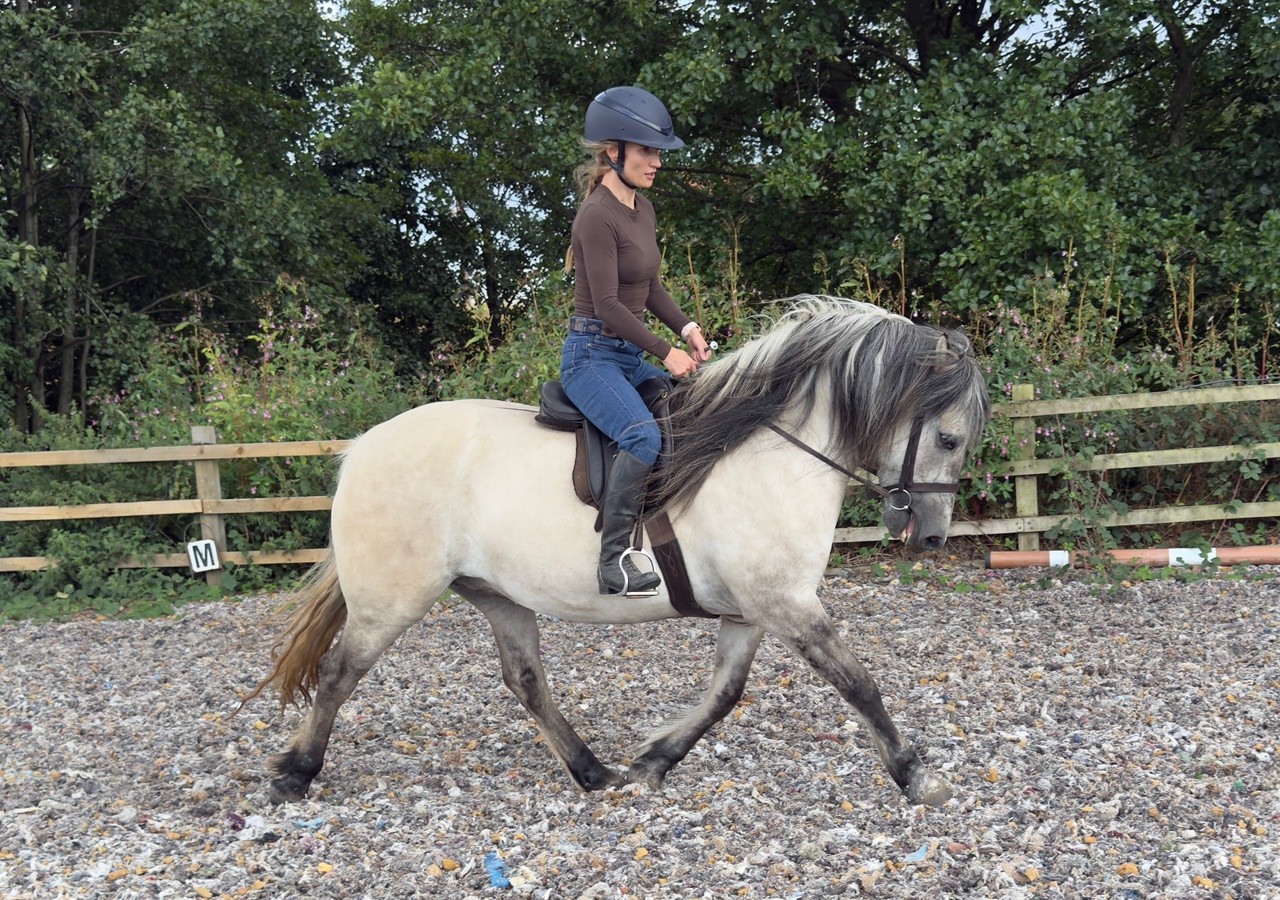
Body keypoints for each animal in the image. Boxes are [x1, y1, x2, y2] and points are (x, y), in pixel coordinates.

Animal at [245, 295, 991, 807]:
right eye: (949, 439)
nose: (930, 536)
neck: (767, 451)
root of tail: (361, 449)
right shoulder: (785, 602)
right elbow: (858, 682)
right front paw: (916, 774)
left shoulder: (752, 610)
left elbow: (726, 693)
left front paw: (654, 761)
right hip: (392, 598)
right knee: (340, 672)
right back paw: (295, 775)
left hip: (498, 595)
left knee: (527, 682)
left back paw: (591, 770)